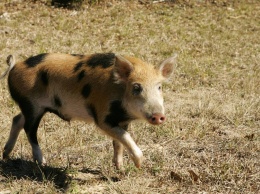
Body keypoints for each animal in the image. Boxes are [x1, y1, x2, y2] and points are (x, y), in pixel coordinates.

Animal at [1, 52, 176, 169]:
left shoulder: (122, 120)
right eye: (136, 87)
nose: (158, 116)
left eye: (159, 87)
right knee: (29, 130)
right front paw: (139, 165)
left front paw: (120, 169)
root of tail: (15, 66)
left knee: (17, 119)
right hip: (32, 105)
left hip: (29, 106)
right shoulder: (102, 117)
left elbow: (119, 142)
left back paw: (6, 155)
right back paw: (42, 163)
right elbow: (124, 137)